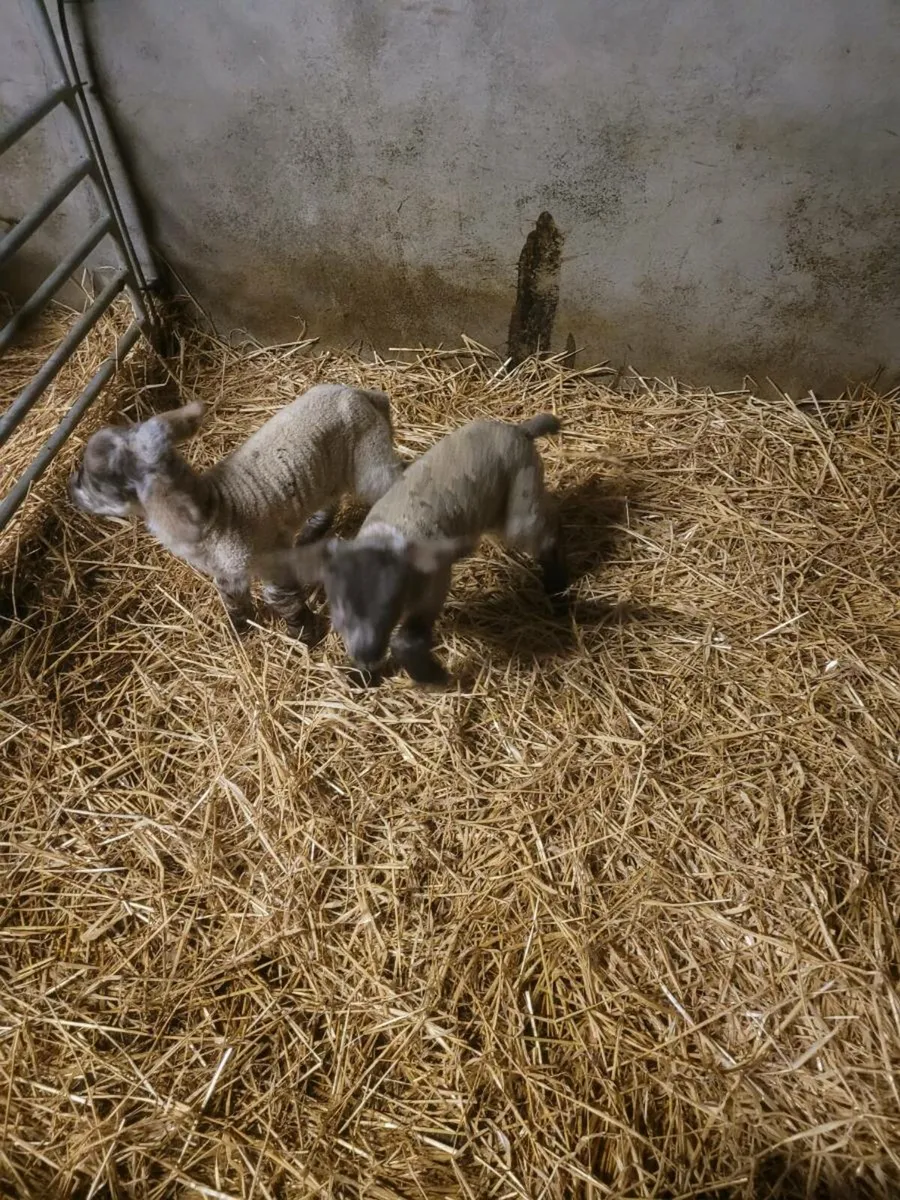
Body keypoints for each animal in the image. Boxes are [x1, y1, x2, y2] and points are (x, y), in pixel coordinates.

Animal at [68, 384, 405, 637]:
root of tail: (362, 394)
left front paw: (304, 632)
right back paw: (313, 529)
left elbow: (279, 597)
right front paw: (238, 630)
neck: (216, 512)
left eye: (100, 480)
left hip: (369, 458)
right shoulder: (227, 572)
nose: (72, 486)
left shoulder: (269, 557)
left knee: (394, 478)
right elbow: (232, 599)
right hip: (332, 468)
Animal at [259, 413, 567, 685]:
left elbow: (405, 640)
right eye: (341, 612)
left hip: (520, 500)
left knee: (545, 537)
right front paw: (363, 676)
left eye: (389, 608)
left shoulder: (435, 581)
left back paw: (558, 592)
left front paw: (432, 676)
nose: (367, 654)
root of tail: (521, 430)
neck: (387, 534)